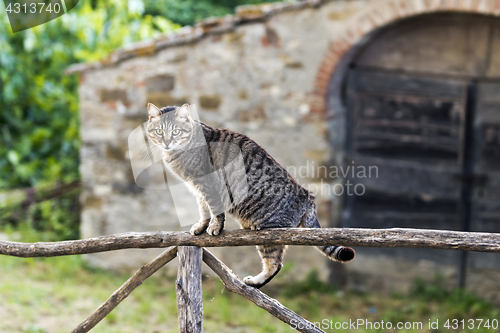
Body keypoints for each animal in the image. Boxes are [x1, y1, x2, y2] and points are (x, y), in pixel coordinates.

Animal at [146, 102, 356, 286]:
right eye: (159, 131)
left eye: (176, 131)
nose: (167, 142)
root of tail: (308, 197)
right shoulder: (197, 189)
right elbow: (204, 210)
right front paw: (200, 227)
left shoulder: (206, 184)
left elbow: (214, 210)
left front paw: (214, 228)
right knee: (275, 263)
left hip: (271, 234)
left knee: (275, 264)